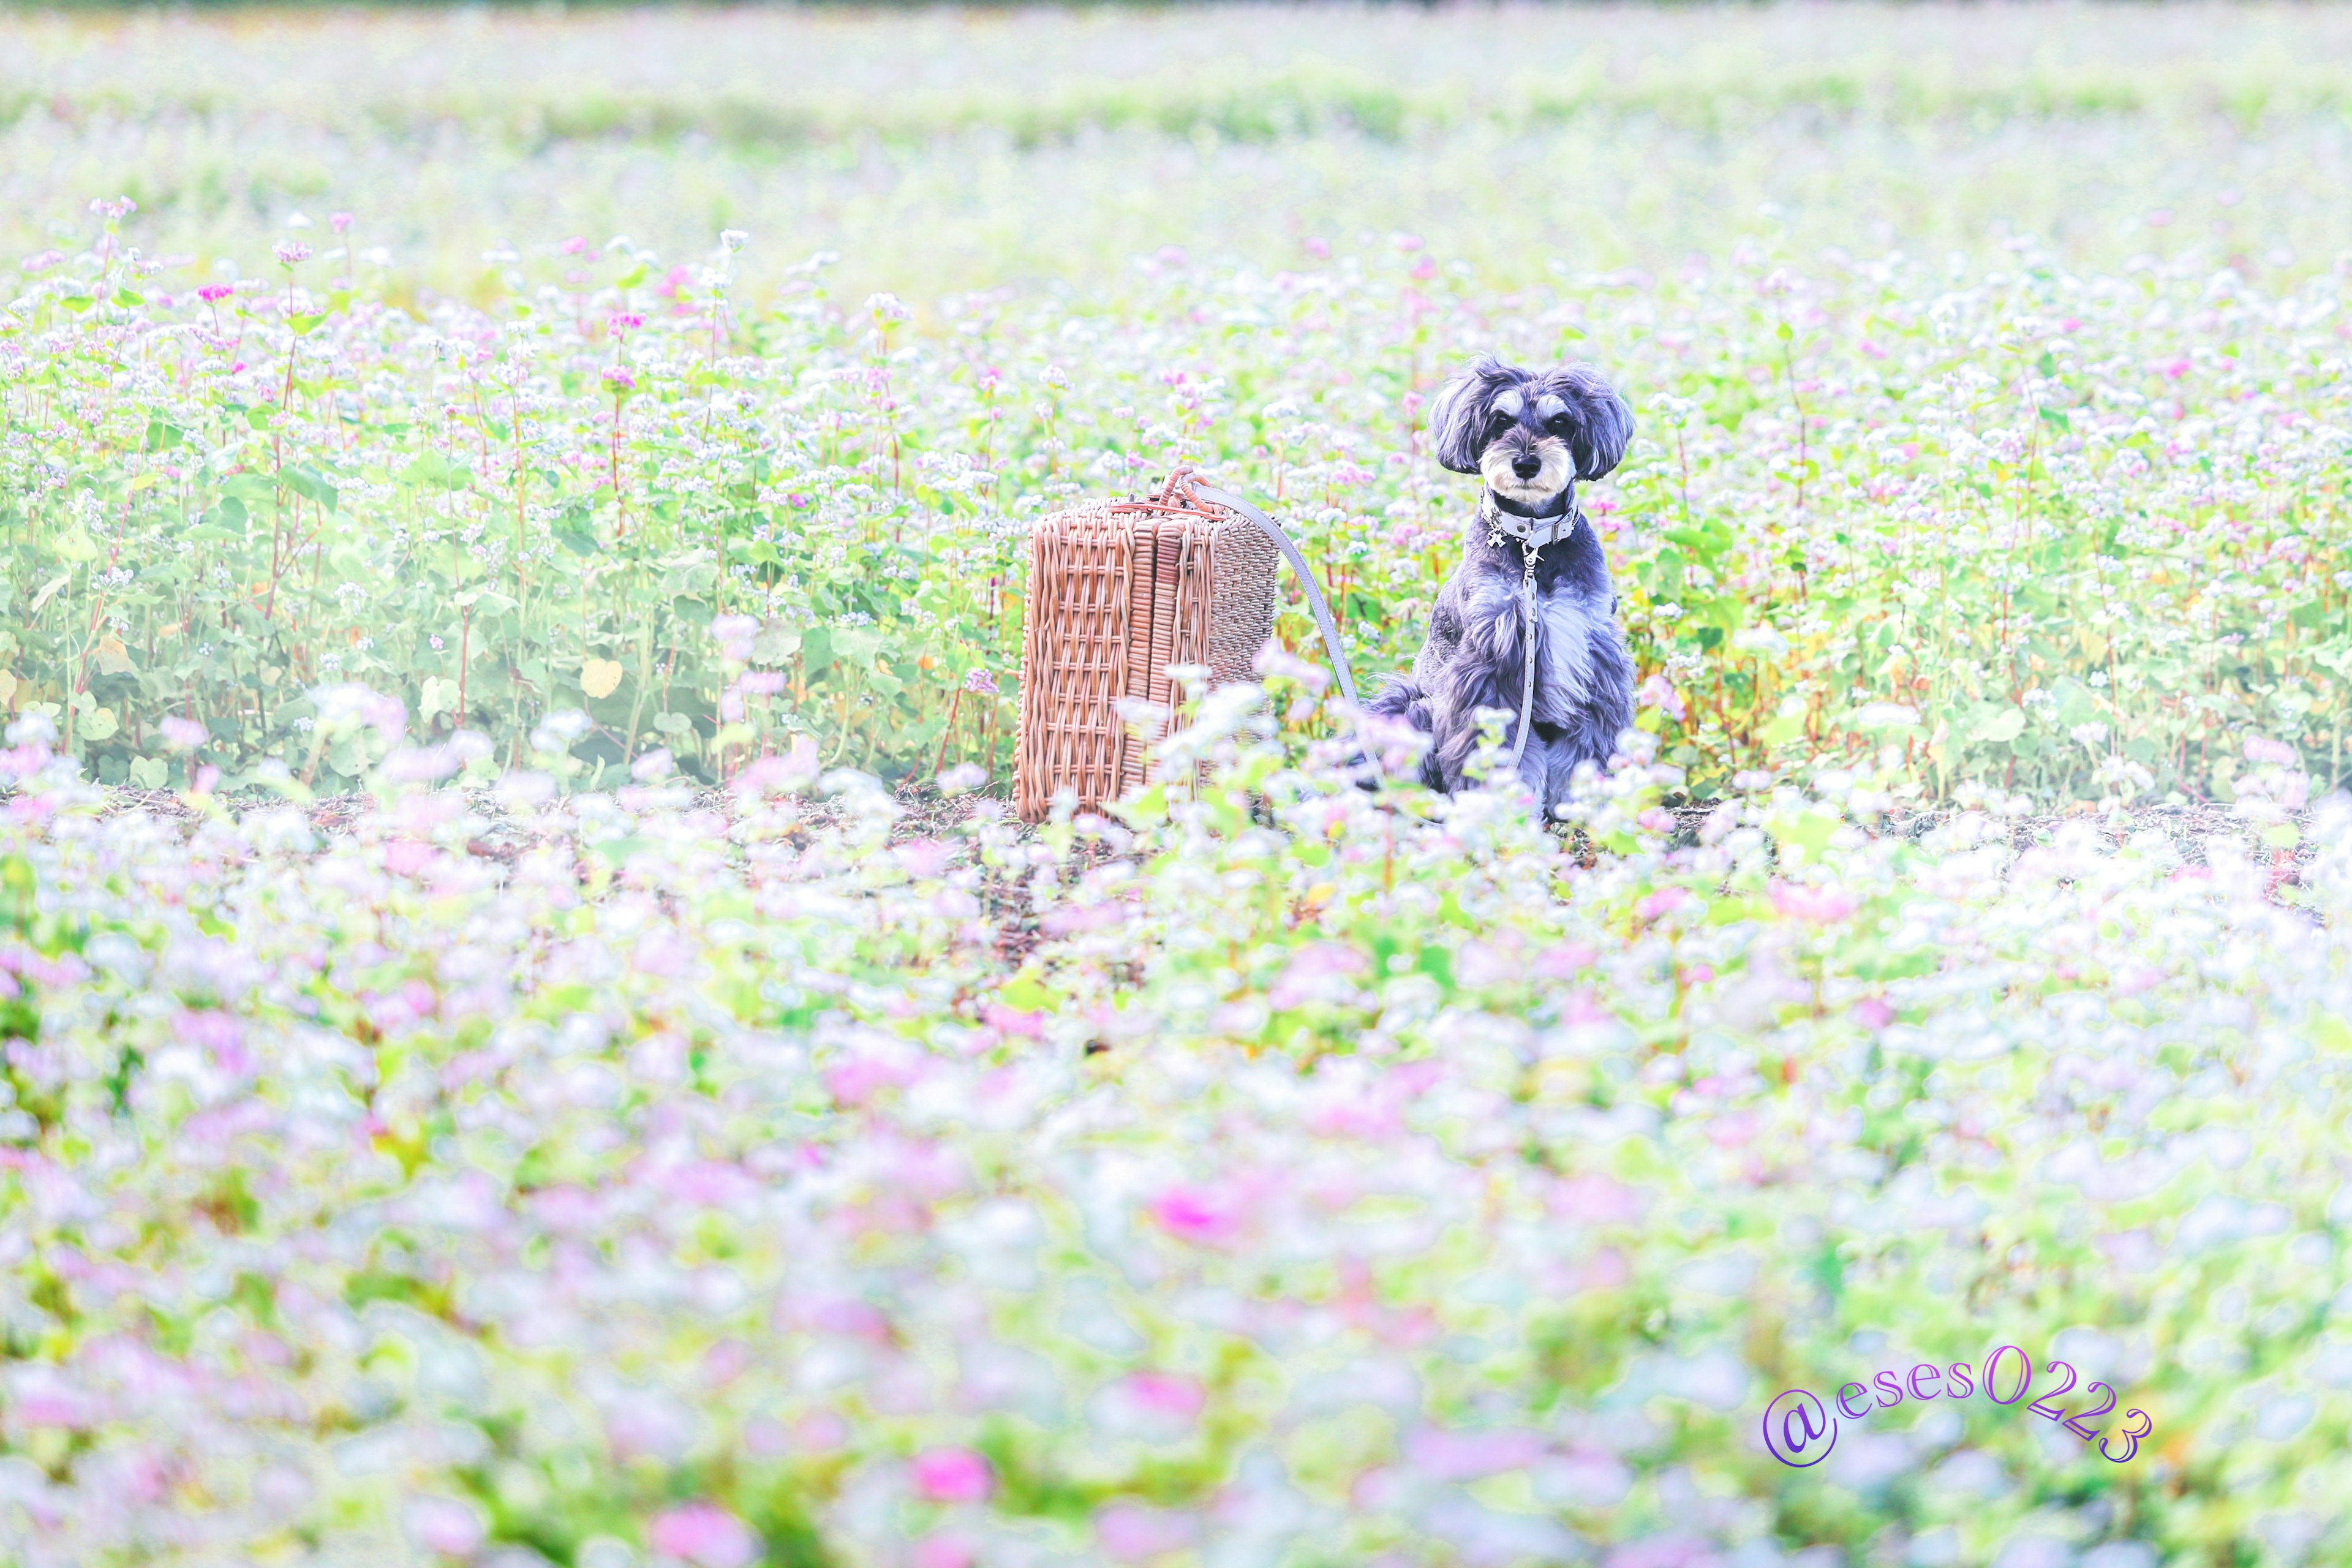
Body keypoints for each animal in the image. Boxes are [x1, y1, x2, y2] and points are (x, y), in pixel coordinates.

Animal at [1373, 357, 1646, 823]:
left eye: (1561, 422)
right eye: (1501, 421)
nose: (1525, 464)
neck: (1532, 544)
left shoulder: (1593, 652)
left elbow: (1584, 746)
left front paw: (1581, 800)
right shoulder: (1489, 663)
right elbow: (1496, 749)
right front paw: (1500, 807)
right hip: (1412, 707)